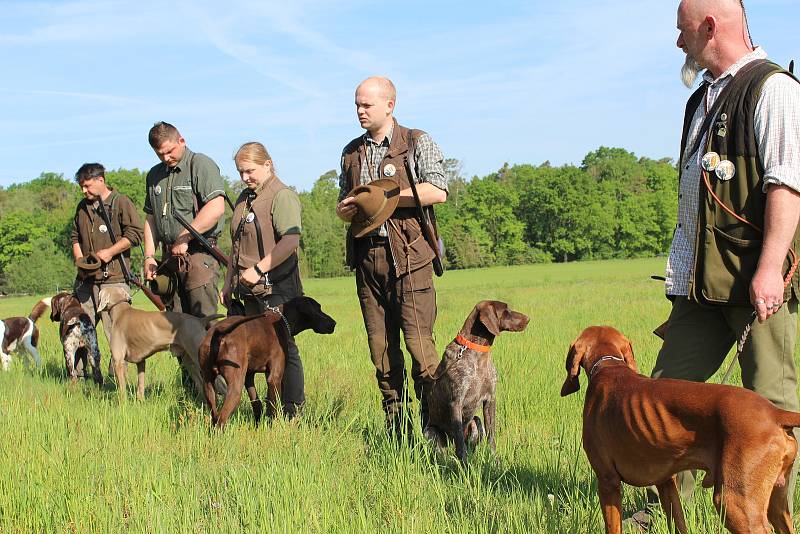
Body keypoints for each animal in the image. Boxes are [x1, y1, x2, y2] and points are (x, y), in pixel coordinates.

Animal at [203, 296, 338, 430]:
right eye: (318, 308)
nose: (334, 323)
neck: (281, 319)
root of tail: (219, 334)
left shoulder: (249, 376)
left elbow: (257, 403)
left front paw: (259, 426)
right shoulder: (274, 378)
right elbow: (274, 407)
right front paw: (275, 427)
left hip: (208, 386)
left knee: (214, 416)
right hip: (235, 388)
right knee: (221, 420)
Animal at [424, 302, 532, 464]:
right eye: (506, 310)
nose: (528, 318)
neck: (478, 352)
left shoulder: (490, 399)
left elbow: (491, 435)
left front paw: (495, 461)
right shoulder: (456, 402)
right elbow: (460, 442)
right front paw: (464, 465)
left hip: (476, 422)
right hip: (430, 432)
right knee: (444, 451)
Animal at [560, 326, 800, 534]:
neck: (609, 365)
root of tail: (775, 413)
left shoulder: (607, 480)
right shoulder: (666, 483)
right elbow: (678, 522)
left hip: (734, 503)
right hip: (777, 505)